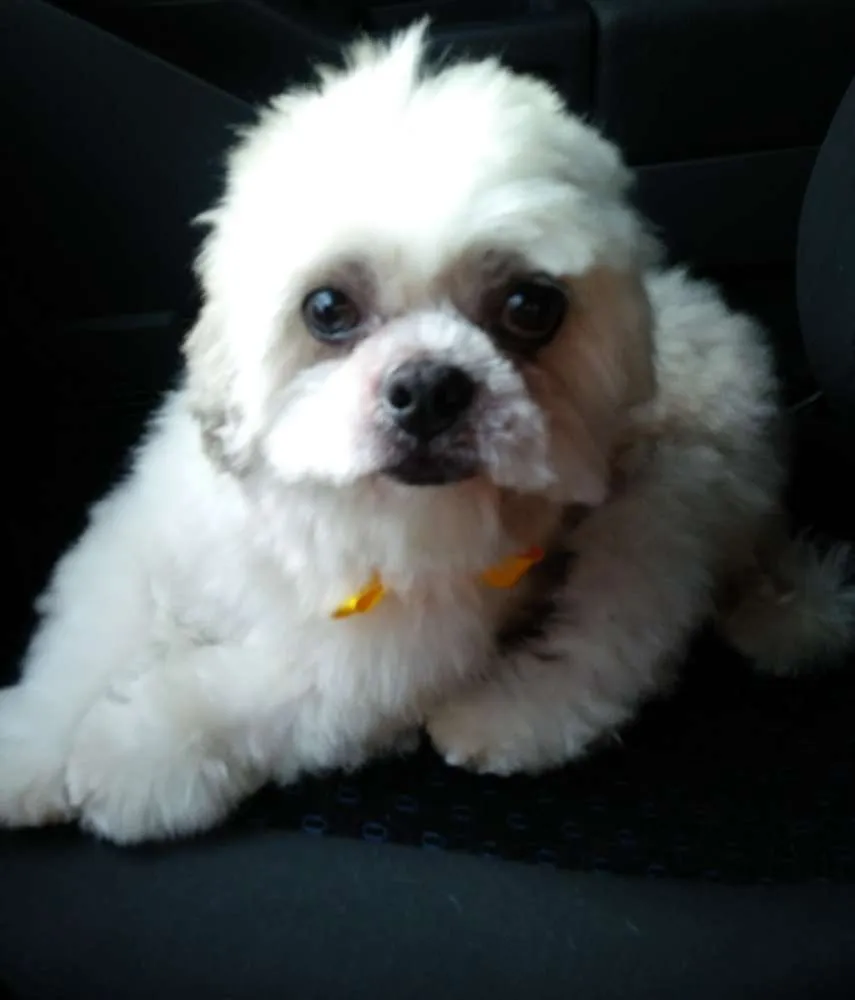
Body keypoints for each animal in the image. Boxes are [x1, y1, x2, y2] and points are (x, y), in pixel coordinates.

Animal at [1, 22, 852, 844]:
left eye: (530, 306)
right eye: (327, 308)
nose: (429, 388)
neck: (320, 511)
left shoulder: (372, 663)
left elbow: (241, 696)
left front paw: (134, 755)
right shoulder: (138, 550)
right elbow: (85, 649)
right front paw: (33, 750)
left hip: (662, 508)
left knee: (612, 649)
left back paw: (504, 718)